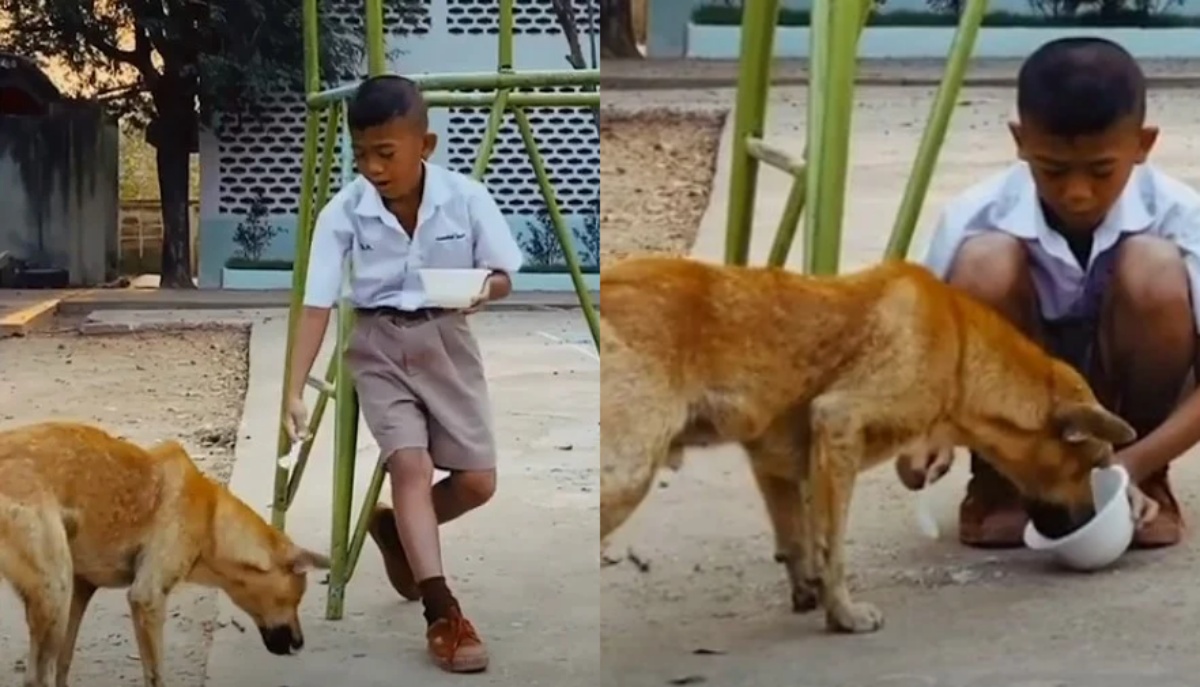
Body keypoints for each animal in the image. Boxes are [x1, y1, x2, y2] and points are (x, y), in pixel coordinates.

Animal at [0, 420, 331, 682]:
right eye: (295, 599)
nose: (300, 643)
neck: (210, 520)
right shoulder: (147, 597)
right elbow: (155, 673)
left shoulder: (81, 589)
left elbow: (64, 663)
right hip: (55, 591)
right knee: (36, 677)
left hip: (58, 596)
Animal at [604, 255, 1137, 634]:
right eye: (1094, 463)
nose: (1096, 520)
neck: (960, 349)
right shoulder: (838, 424)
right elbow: (833, 547)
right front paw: (844, 614)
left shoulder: (774, 465)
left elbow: (798, 541)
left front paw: (809, 594)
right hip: (628, 472)